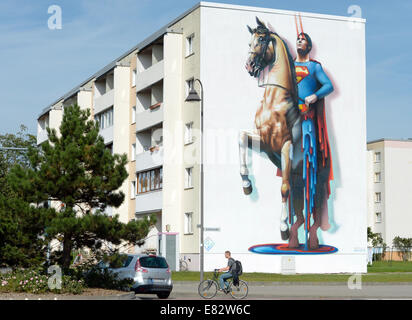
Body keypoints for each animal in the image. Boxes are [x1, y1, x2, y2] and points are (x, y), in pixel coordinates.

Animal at [238, 17, 306, 245]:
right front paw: (246, 183)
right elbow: (241, 137)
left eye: (261, 39)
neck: (275, 101)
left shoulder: (285, 147)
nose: (249, 66)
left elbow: (283, 188)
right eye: (249, 41)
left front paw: (283, 228)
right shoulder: (265, 144)